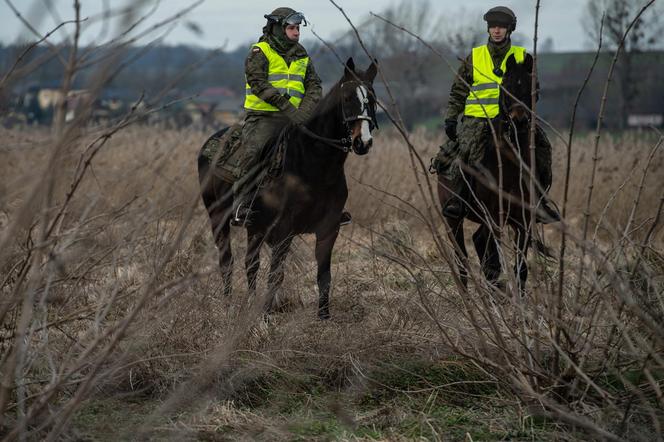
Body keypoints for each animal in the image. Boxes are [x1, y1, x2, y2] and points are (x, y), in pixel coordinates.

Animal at [197, 59, 376, 322]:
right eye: (347, 98)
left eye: (372, 99)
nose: (362, 142)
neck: (314, 162)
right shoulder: (284, 230)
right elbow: (276, 274)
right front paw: (266, 316)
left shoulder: (329, 229)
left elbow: (324, 275)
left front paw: (324, 316)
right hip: (218, 217)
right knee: (227, 260)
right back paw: (229, 305)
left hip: (254, 227)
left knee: (251, 263)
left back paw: (249, 302)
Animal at [438, 53, 536, 292]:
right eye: (506, 87)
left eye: (531, 87)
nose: (519, 121)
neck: (510, 168)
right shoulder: (493, 217)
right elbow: (492, 262)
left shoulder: (524, 221)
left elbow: (520, 268)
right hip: (454, 221)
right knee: (462, 259)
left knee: (479, 243)